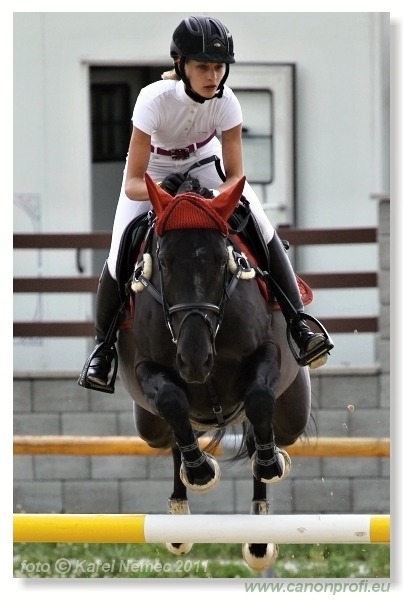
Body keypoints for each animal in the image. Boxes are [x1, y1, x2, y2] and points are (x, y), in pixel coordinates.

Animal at [117, 175, 312, 572]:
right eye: (162, 261)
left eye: (223, 260)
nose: (194, 360)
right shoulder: (143, 367)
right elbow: (173, 401)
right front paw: (200, 472)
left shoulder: (268, 351)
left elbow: (259, 399)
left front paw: (269, 463)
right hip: (149, 426)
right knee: (172, 434)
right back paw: (179, 522)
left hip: (293, 413)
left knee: (267, 426)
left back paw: (259, 539)